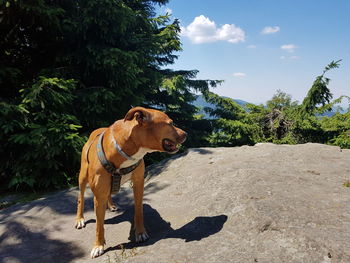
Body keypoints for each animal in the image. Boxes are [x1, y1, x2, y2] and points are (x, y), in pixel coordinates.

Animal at [75, 108, 187, 260]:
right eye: (170, 123)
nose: (186, 134)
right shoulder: (98, 196)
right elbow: (99, 225)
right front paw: (98, 245)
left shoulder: (139, 183)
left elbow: (138, 211)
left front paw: (140, 233)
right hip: (83, 176)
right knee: (80, 198)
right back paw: (80, 219)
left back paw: (111, 205)